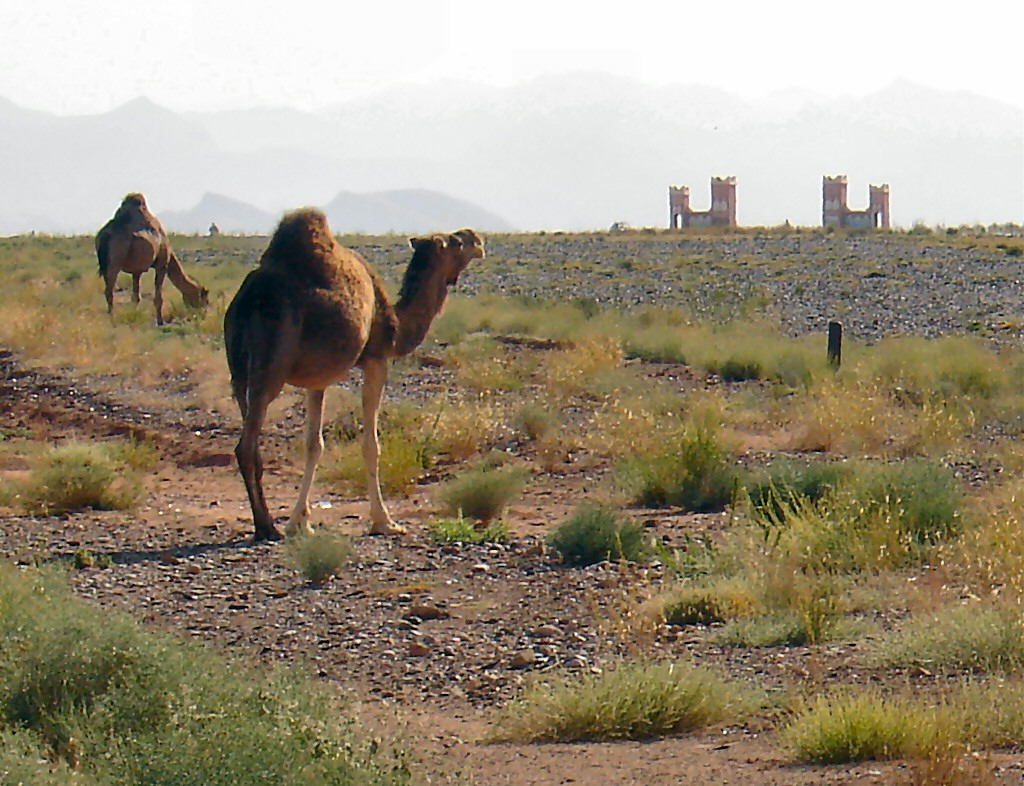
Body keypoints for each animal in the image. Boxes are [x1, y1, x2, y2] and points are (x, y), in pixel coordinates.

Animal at [96, 193, 207, 325]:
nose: (202, 315)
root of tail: (105, 234)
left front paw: (133, 316)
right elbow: (158, 296)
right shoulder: (162, 264)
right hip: (115, 262)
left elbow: (136, 297)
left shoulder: (137, 270)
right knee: (109, 291)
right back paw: (112, 319)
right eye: (203, 299)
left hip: (106, 265)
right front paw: (160, 321)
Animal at [223, 205, 483, 544]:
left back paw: (267, 523)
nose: (477, 239)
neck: (395, 323)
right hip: (269, 368)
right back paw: (266, 526)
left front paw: (301, 522)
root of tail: (246, 302)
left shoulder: (317, 380)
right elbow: (371, 445)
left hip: (238, 372)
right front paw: (384, 521)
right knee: (246, 446)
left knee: (250, 440)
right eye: (456, 241)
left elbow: (314, 445)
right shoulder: (376, 360)